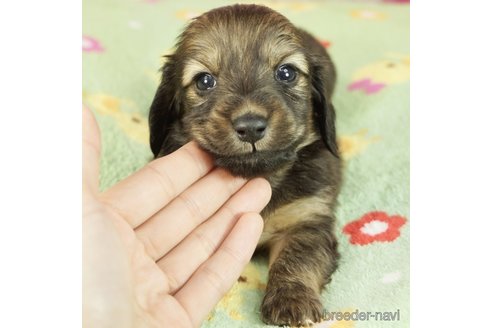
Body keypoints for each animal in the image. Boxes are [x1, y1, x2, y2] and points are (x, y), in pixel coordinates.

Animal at [149, 3, 342, 326]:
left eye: (286, 73)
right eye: (204, 81)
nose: (250, 127)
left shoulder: (307, 218)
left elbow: (297, 258)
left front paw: (292, 300)